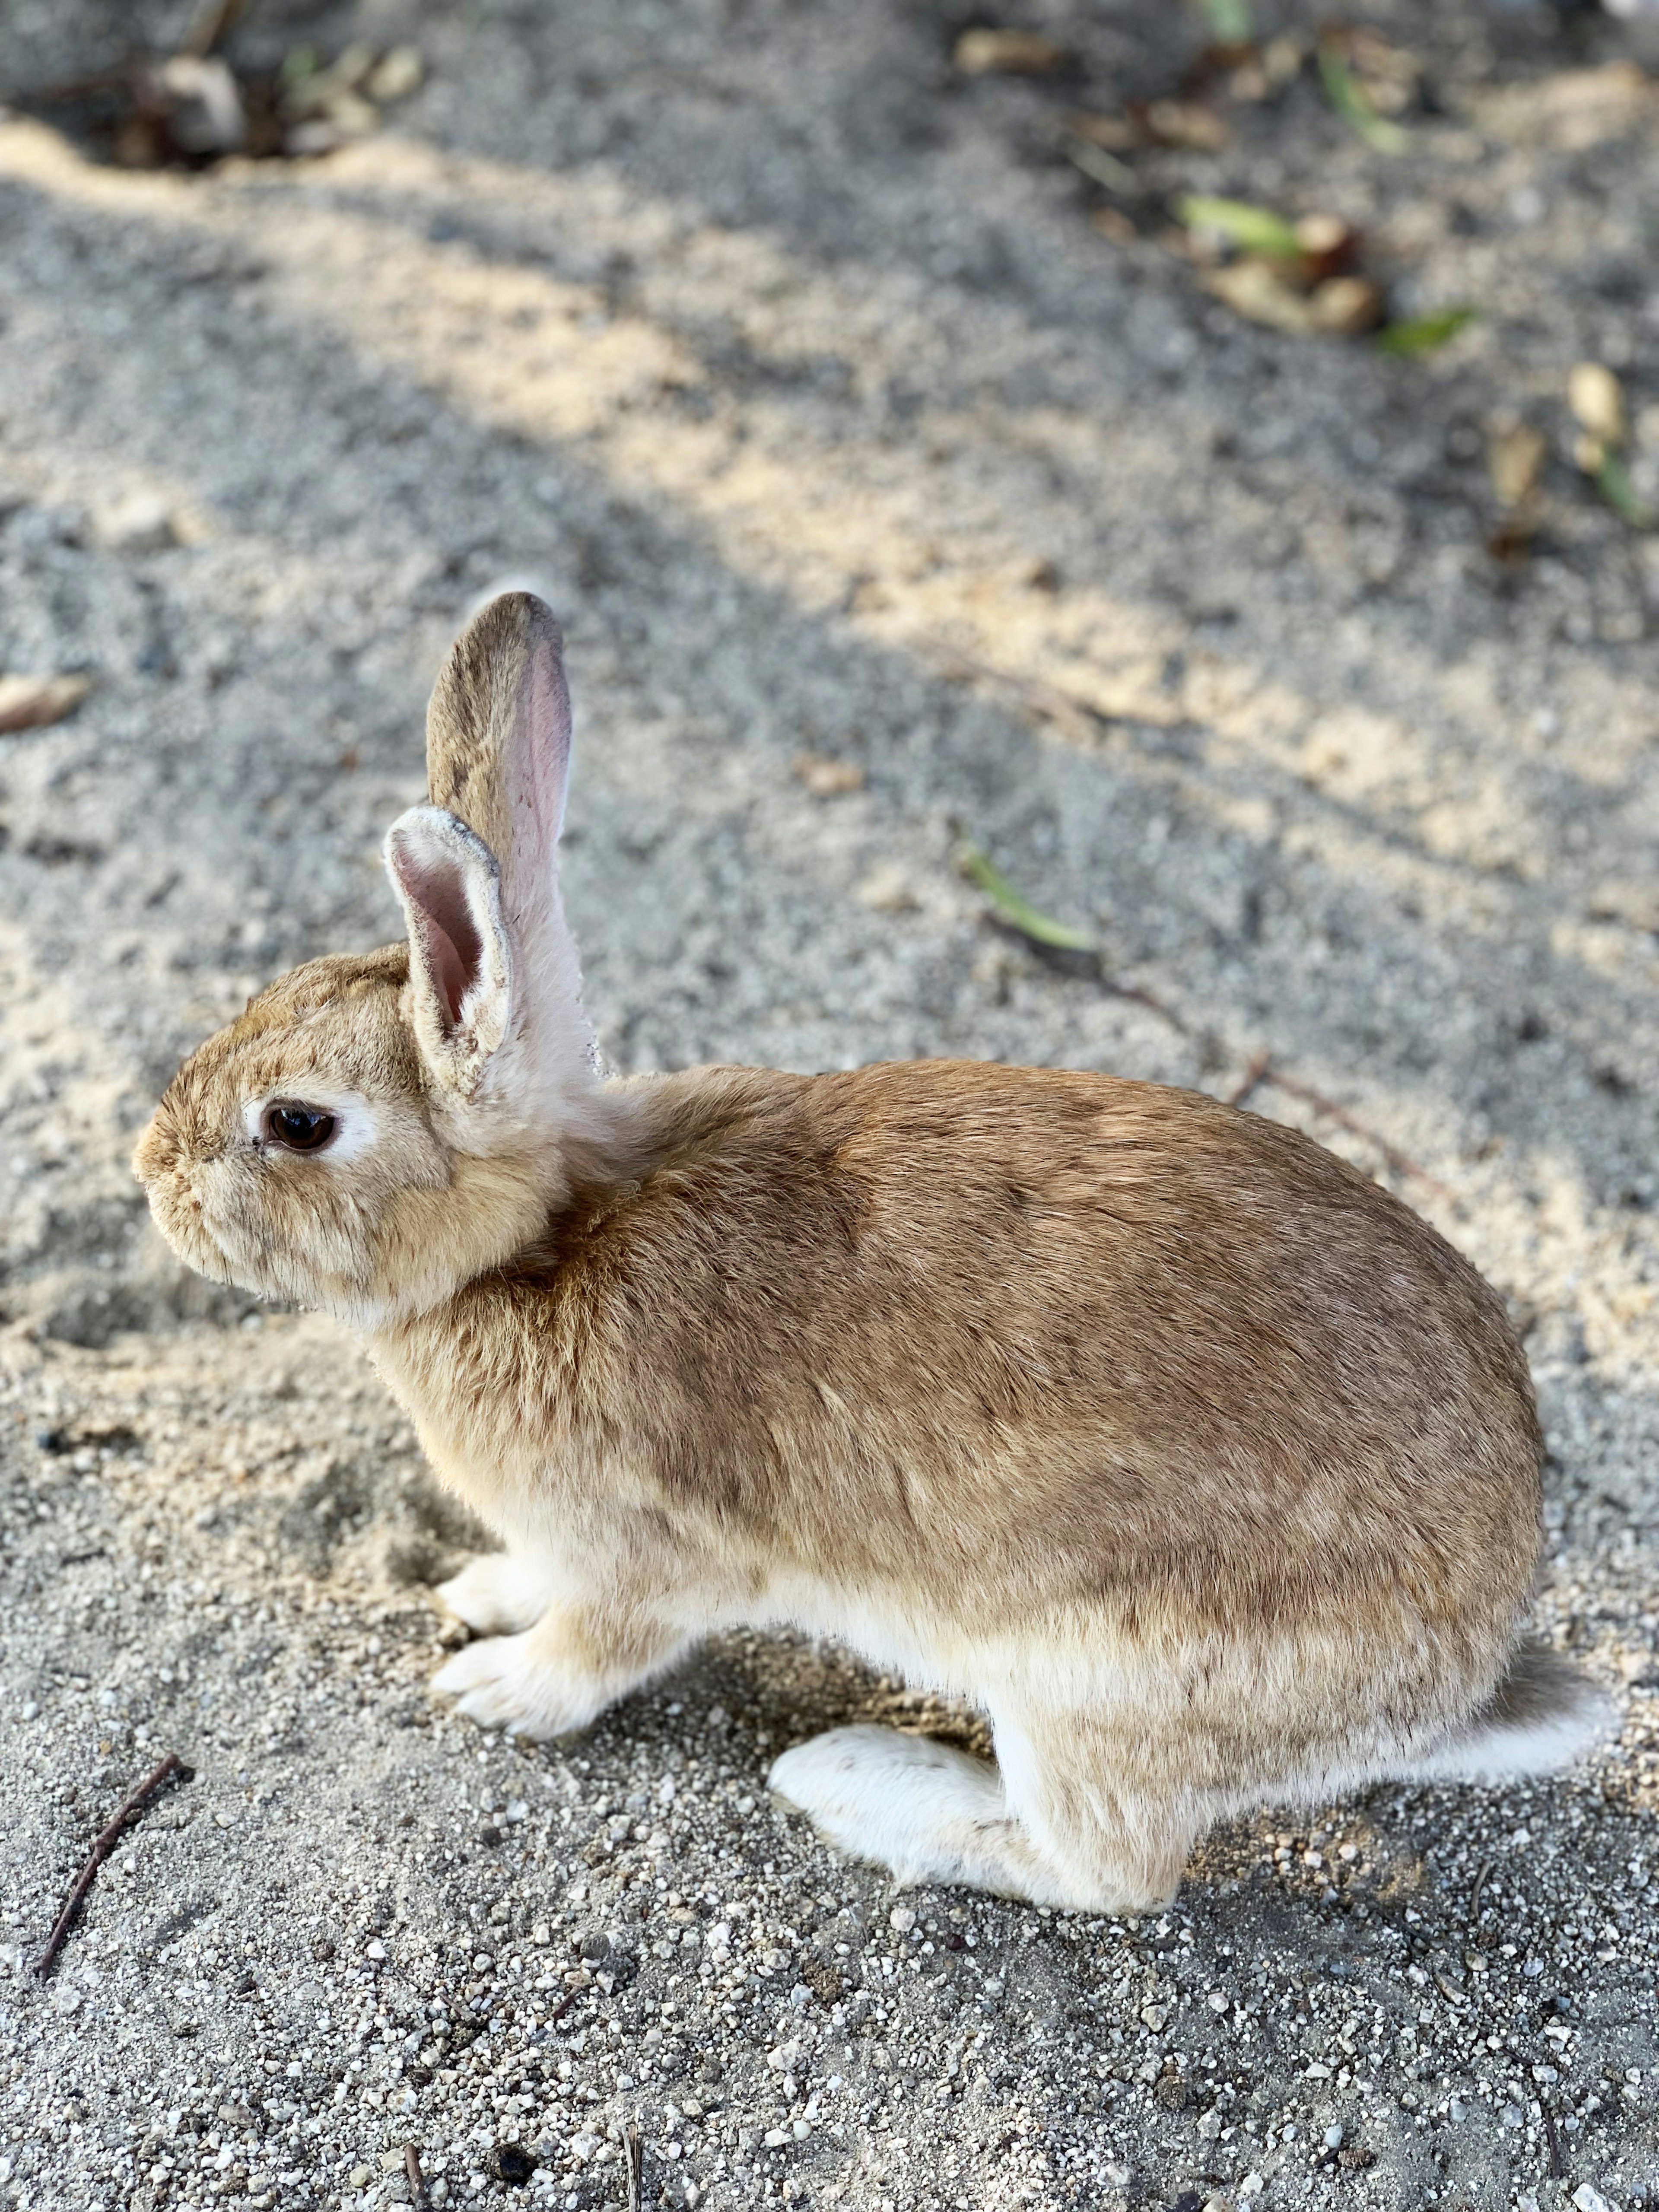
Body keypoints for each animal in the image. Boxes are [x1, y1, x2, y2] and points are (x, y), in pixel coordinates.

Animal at [137, 593, 1619, 1920]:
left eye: (299, 1123)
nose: (152, 1179)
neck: (543, 1241)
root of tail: (1456, 1683)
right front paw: (478, 1591)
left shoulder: (654, 1550)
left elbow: (603, 1642)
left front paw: (495, 1685)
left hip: (1089, 1686)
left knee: (1109, 1873)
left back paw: (852, 1781)